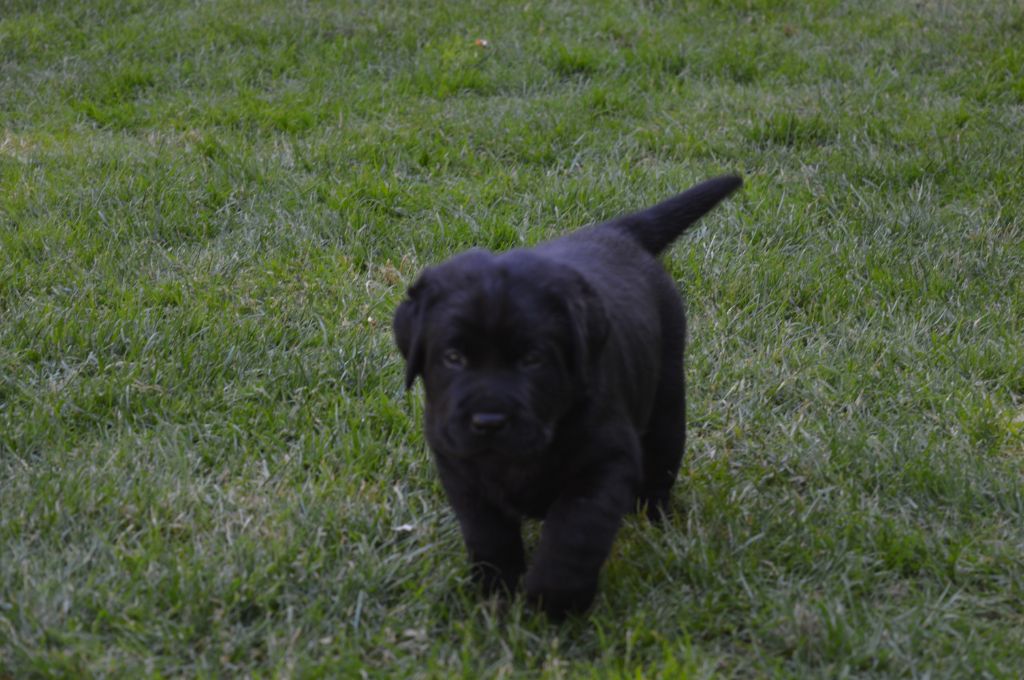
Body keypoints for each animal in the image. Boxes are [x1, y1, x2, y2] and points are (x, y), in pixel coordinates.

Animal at [395, 174, 741, 614]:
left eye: (532, 359)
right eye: (453, 357)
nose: (488, 421)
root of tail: (616, 231)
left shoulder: (604, 464)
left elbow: (574, 535)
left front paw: (553, 600)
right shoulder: (459, 465)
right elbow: (487, 533)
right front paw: (495, 592)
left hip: (667, 400)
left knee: (661, 462)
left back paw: (656, 521)